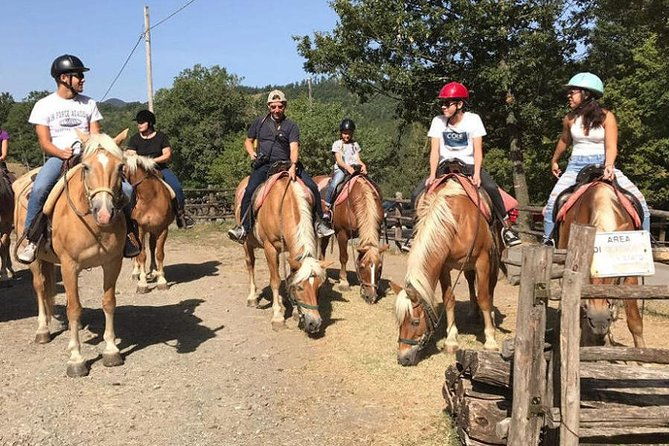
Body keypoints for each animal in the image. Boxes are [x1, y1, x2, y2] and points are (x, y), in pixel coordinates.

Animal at [13, 130, 129, 377]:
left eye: (120, 167)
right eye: (86, 167)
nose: (104, 213)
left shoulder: (112, 263)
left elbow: (109, 302)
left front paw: (111, 350)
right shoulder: (69, 266)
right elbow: (73, 308)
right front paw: (76, 359)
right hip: (36, 260)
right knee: (40, 287)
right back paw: (43, 329)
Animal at [124, 150, 174, 293]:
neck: (149, 198)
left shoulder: (162, 229)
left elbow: (159, 253)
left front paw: (161, 280)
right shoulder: (139, 230)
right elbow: (141, 255)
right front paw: (142, 283)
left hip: (153, 230)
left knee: (152, 247)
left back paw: (153, 271)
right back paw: (136, 272)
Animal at [234, 171, 329, 335]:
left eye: (319, 286)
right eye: (300, 288)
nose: (314, 324)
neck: (283, 206)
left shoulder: (291, 252)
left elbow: (289, 277)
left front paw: (296, 312)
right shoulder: (270, 248)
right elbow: (275, 281)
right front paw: (278, 317)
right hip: (247, 244)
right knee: (251, 265)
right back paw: (252, 297)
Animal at [315, 173, 387, 303]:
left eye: (379, 267)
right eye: (362, 267)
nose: (371, 297)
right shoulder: (342, 234)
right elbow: (344, 257)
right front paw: (344, 282)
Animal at [391, 177, 502, 366]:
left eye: (415, 322)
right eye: (399, 321)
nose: (403, 358)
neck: (456, 222)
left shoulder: (483, 261)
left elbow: (484, 298)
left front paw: (490, 340)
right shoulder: (444, 265)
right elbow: (449, 299)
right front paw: (451, 341)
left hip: (494, 259)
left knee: (490, 287)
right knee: (470, 280)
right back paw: (473, 312)